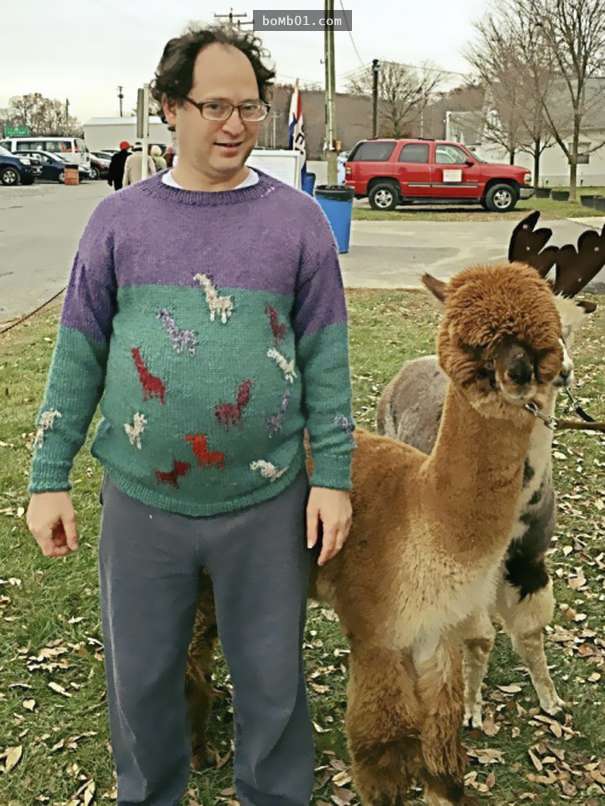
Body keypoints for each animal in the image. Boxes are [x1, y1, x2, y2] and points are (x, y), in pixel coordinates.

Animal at [185, 255, 570, 804]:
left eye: (546, 336)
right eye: (473, 340)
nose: (518, 373)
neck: (423, 515)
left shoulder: (435, 634)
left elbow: (443, 753)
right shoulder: (378, 632)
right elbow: (382, 755)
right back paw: (199, 749)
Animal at [376, 213, 601, 730]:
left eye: (570, 329)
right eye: (482, 339)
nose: (561, 371)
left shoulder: (529, 557)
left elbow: (532, 632)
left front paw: (551, 701)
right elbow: (478, 637)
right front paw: (471, 710)